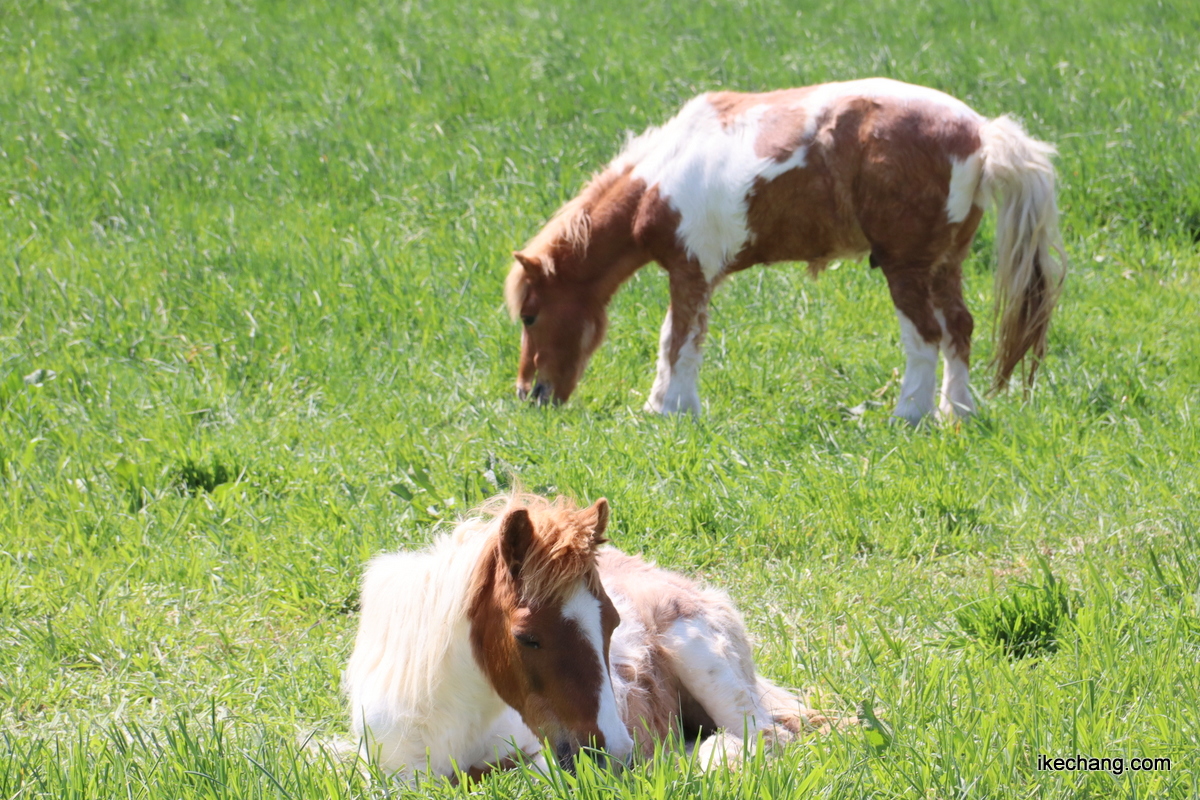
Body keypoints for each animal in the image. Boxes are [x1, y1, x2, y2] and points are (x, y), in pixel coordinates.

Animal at [338, 494, 825, 782]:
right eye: (527, 637)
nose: (615, 752)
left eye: (611, 623)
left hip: (704, 661)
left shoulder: (543, 755)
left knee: (764, 736)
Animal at [501, 77, 1065, 422]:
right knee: (959, 331)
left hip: (905, 267)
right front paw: (664, 404)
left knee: (925, 336)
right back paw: (957, 413)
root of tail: (981, 133)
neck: (661, 178)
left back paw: (908, 416)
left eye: (530, 316)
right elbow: (674, 338)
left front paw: (672, 409)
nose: (529, 395)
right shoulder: (694, 273)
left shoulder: (691, 271)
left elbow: (680, 341)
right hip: (945, 265)